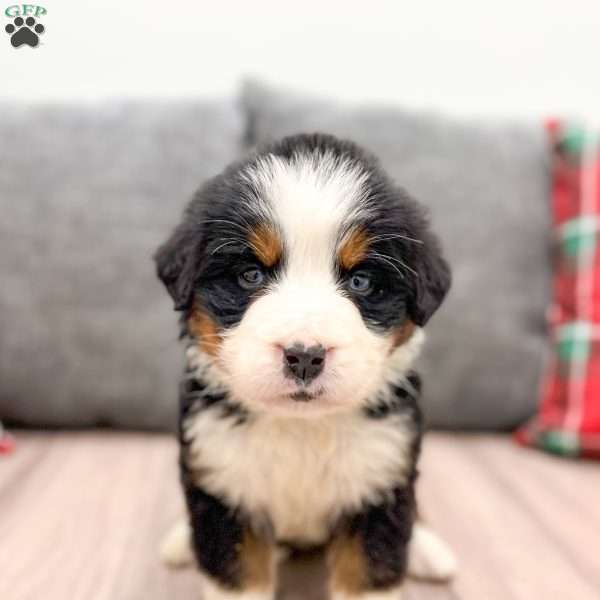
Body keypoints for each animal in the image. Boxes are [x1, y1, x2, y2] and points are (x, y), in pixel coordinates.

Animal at [154, 134, 454, 596]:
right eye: (250, 275)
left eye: (361, 281)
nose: (305, 355)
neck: (301, 428)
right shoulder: (225, 482)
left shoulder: (379, 479)